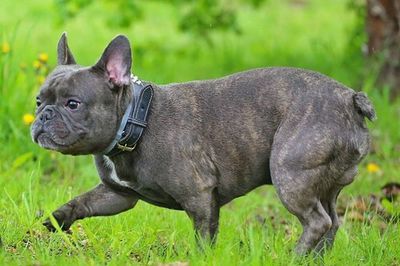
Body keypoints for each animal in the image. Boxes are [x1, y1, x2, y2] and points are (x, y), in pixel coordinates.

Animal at [31, 33, 376, 254]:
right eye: (38, 100)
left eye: (73, 104)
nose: (44, 116)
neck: (135, 120)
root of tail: (349, 99)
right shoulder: (118, 194)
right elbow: (83, 202)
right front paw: (55, 220)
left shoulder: (199, 197)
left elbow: (203, 238)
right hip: (324, 183)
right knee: (332, 221)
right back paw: (317, 258)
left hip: (289, 173)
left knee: (317, 221)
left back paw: (296, 256)